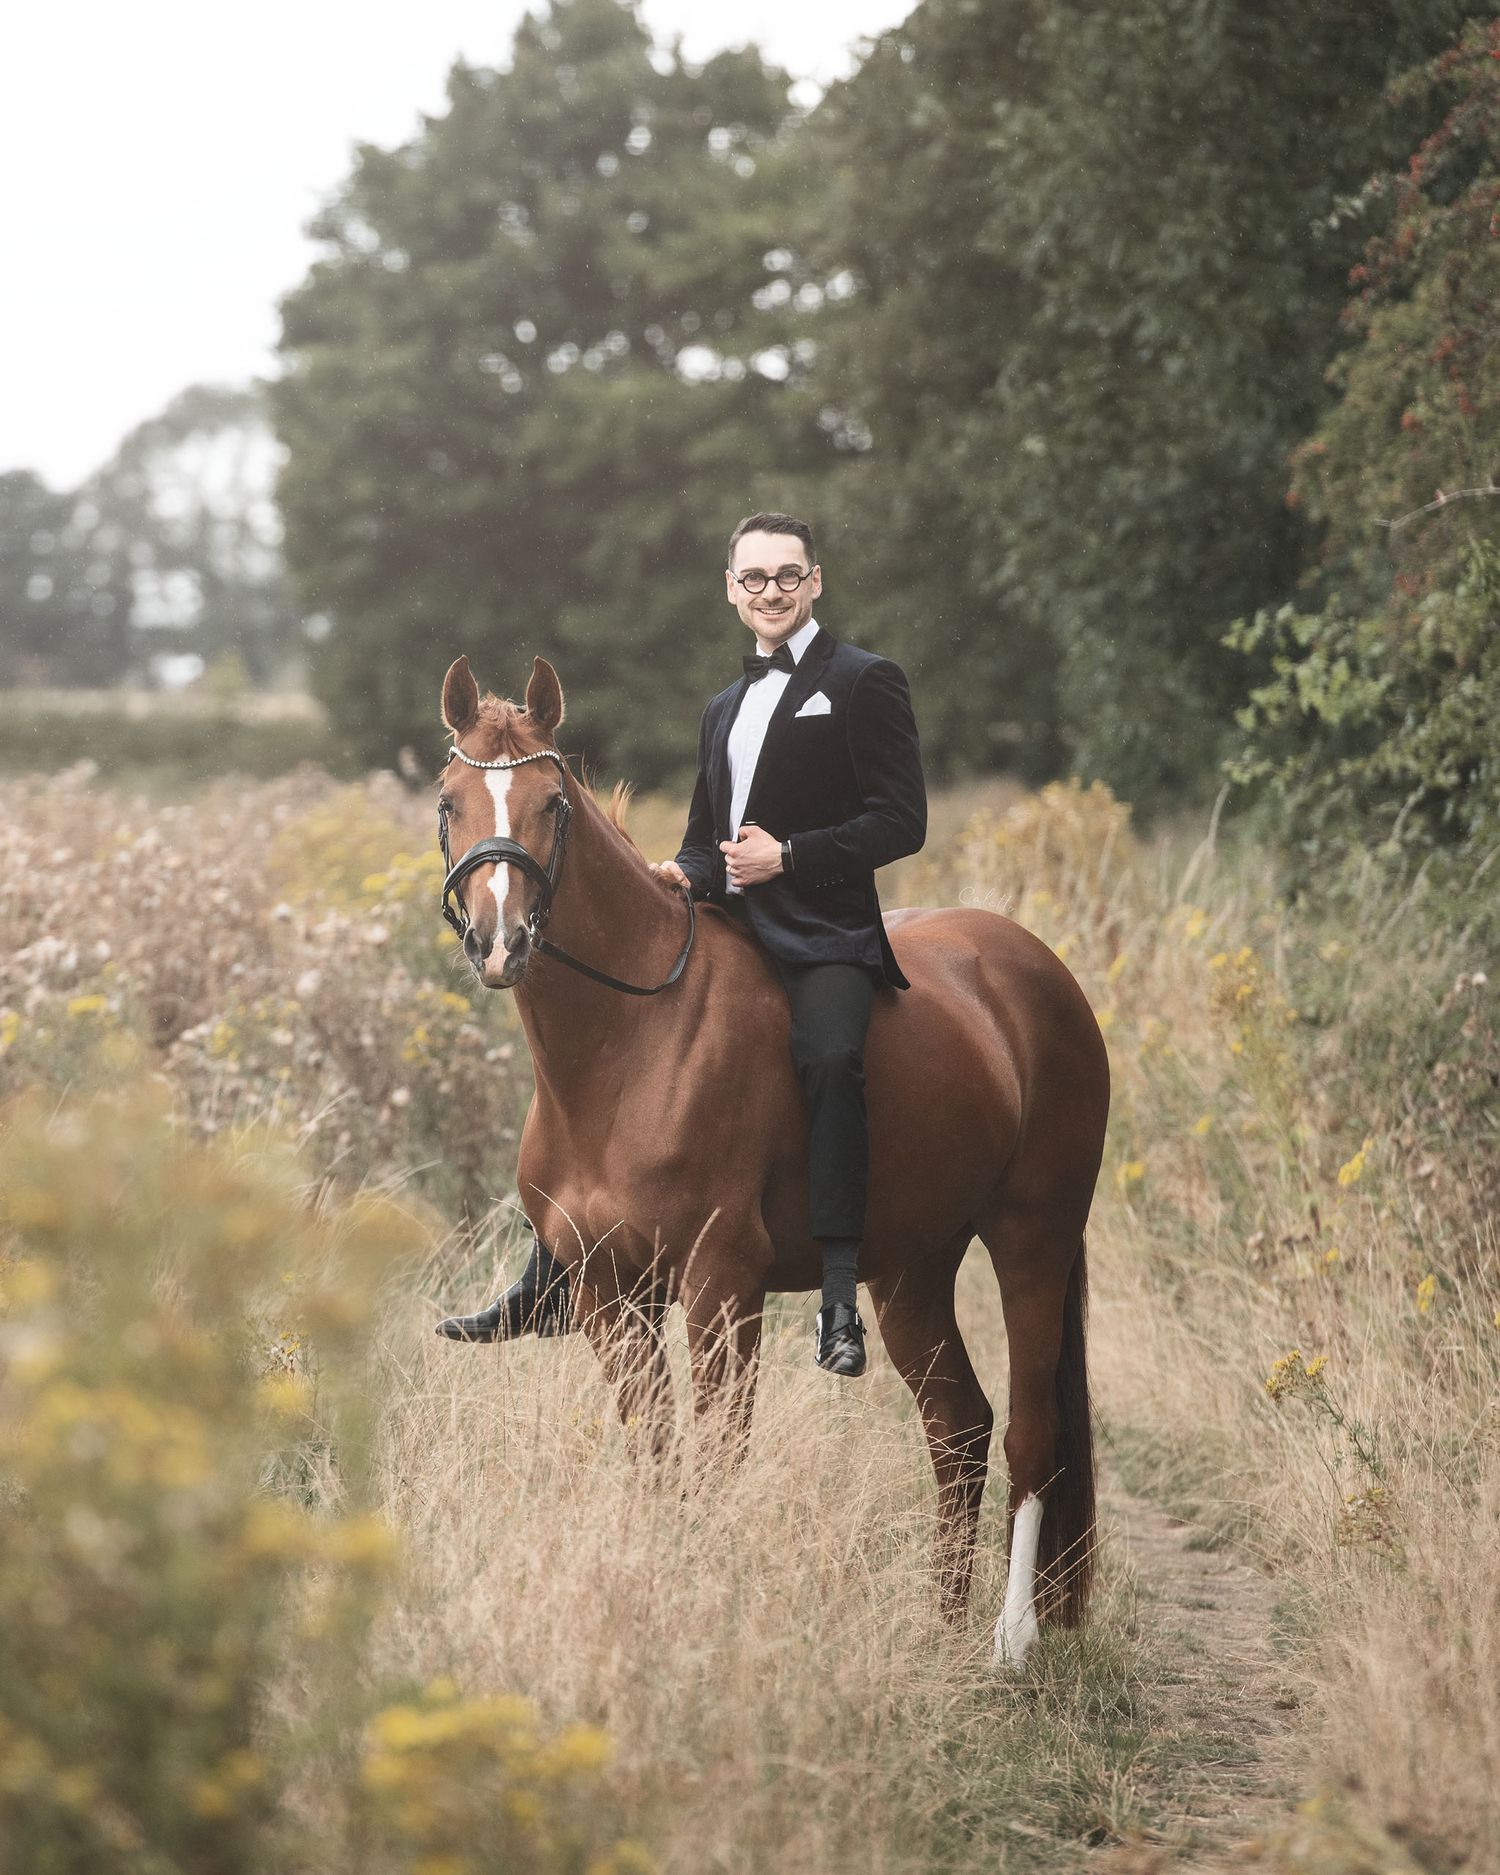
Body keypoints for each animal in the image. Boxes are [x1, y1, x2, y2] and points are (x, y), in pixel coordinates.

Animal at [435, 653, 1110, 1666]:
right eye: (449, 802)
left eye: (554, 804)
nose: (501, 941)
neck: (630, 1042)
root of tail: (1037, 971)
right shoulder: (609, 1294)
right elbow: (659, 1457)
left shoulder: (722, 1283)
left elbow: (718, 1459)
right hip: (911, 1267)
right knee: (958, 1426)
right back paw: (938, 1628)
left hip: (1034, 1238)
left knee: (1032, 1433)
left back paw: (1008, 1640)